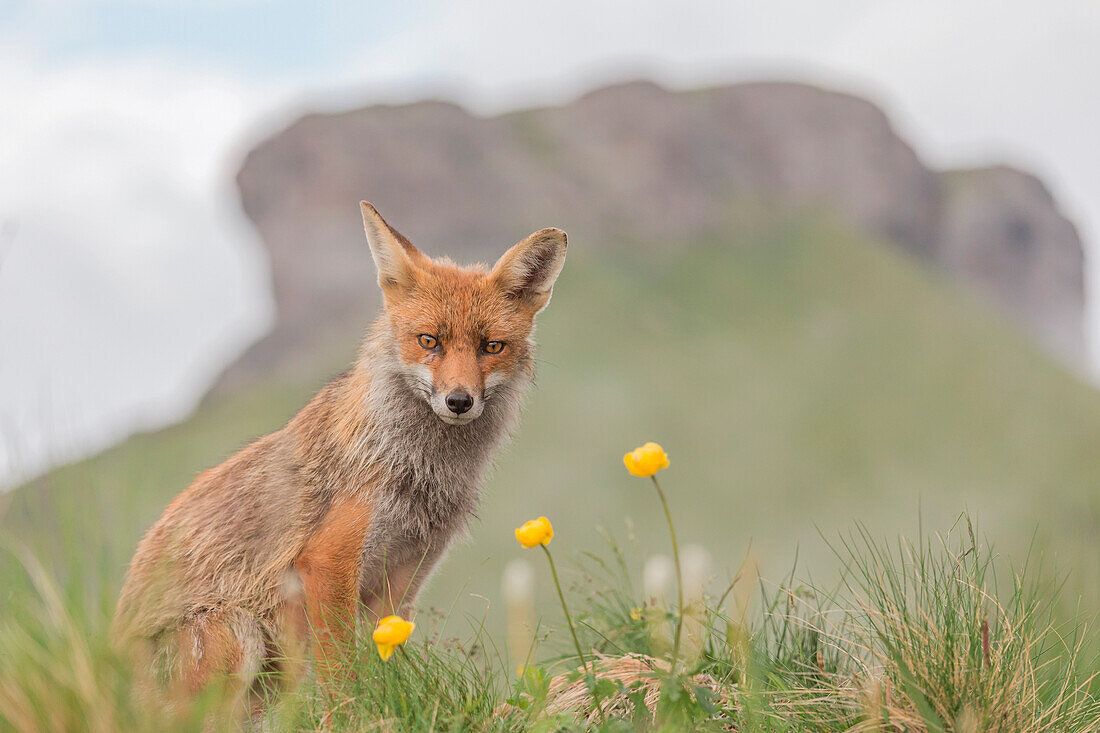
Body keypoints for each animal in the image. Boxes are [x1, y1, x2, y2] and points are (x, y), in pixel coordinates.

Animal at [113, 200, 567, 704]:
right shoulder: (328, 565)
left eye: (492, 346)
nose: (459, 401)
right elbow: (343, 680)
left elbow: (383, 669)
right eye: (429, 341)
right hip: (237, 635)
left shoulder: (402, 580)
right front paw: (353, 713)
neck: (417, 470)